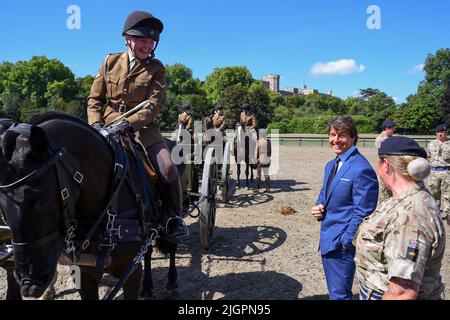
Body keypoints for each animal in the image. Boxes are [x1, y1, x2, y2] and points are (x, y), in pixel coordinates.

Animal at [0, 114, 178, 298]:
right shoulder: (83, 273)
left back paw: (172, 282)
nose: (29, 282)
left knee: (172, 245)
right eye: (2, 207)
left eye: (40, 200)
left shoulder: (131, 272)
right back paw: (148, 287)